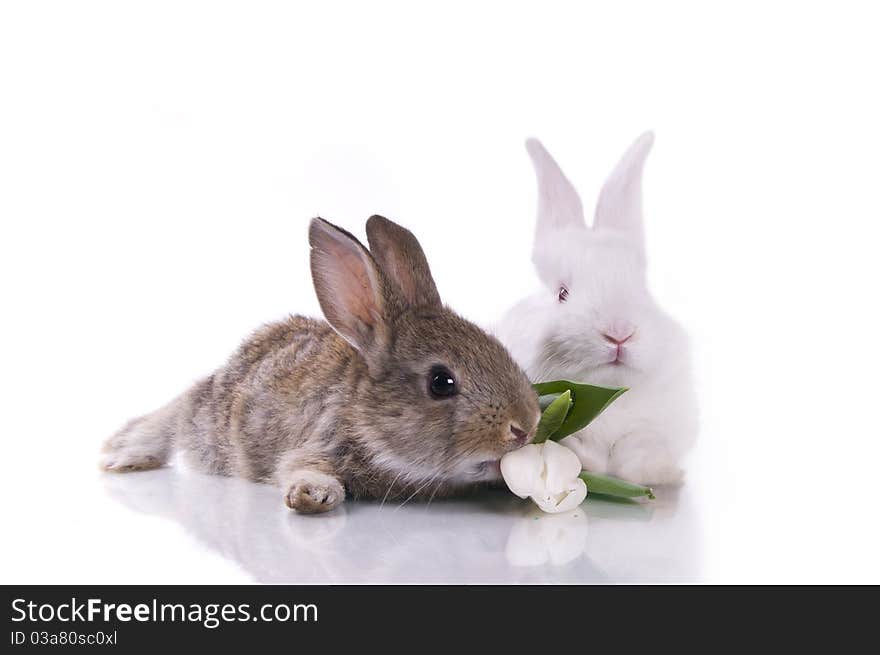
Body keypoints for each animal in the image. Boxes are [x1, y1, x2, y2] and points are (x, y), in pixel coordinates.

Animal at [103, 215, 544, 512]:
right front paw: (312, 495)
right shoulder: (319, 441)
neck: (364, 415)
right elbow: (305, 468)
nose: (525, 426)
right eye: (441, 382)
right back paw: (124, 453)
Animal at [498, 132, 696, 486]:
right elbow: (580, 449)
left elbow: (640, 448)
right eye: (562, 293)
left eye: (643, 289)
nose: (619, 333)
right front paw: (587, 462)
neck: (609, 389)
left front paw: (660, 472)